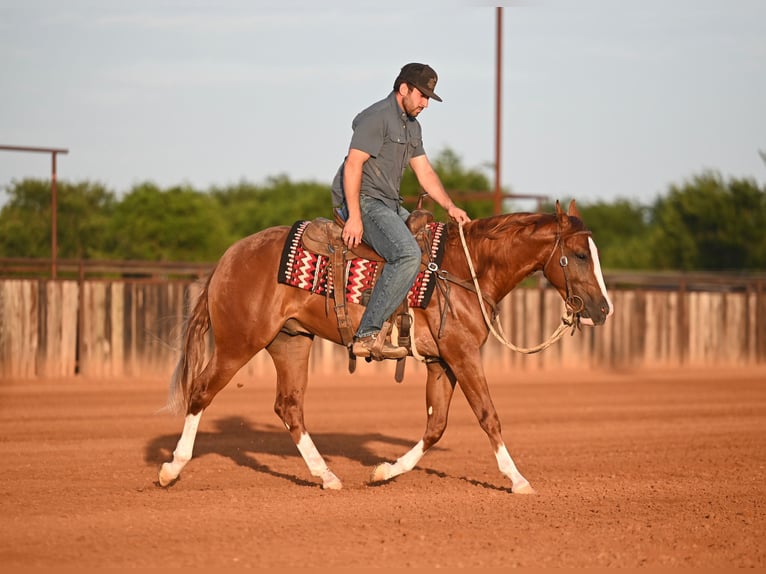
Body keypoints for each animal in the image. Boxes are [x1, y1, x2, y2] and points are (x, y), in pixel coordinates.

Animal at [158, 199, 613, 494]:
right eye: (579, 254)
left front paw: (386, 471)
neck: (462, 271)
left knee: (289, 408)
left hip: (291, 343)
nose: (603, 309)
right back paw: (171, 469)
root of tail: (229, 257)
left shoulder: (441, 362)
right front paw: (517, 480)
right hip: (238, 342)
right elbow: (488, 416)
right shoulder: (463, 355)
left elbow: (436, 426)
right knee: (200, 393)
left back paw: (327, 476)